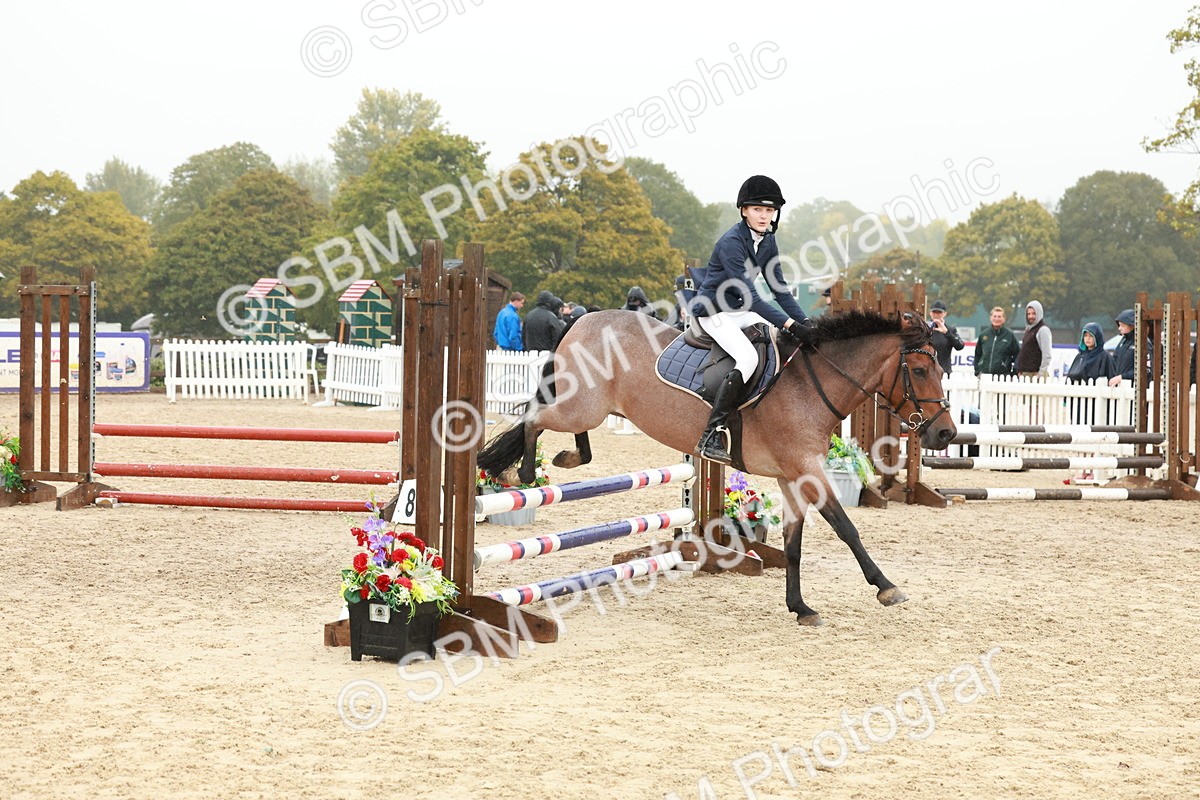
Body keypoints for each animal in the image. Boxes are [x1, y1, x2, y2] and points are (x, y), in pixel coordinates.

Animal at [477, 309, 957, 624]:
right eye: (918, 370)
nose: (945, 435)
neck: (811, 383)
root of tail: (582, 319)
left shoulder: (792, 476)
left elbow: (794, 543)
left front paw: (800, 608)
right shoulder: (807, 470)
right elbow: (846, 527)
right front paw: (885, 587)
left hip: (592, 408)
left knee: (563, 432)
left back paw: (566, 458)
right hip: (581, 406)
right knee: (533, 419)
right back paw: (520, 474)